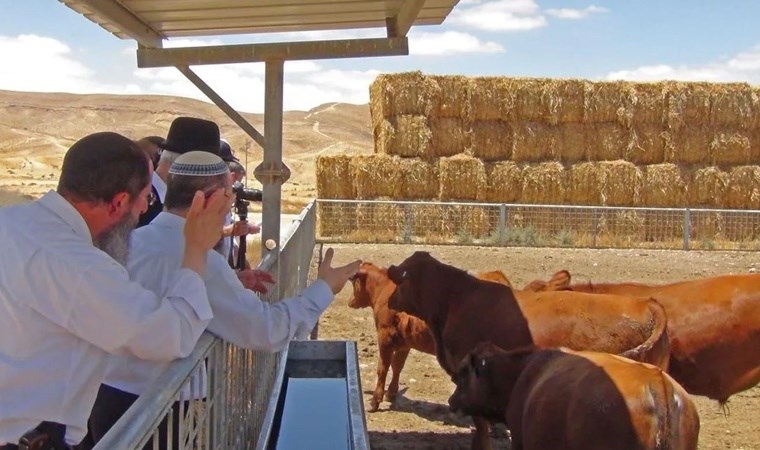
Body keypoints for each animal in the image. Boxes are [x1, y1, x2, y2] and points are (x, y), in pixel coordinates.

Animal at [348, 260, 512, 412]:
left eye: (354, 282)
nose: (350, 301)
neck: (384, 290)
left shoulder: (385, 338)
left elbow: (383, 368)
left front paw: (375, 402)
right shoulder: (404, 343)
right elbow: (397, 366)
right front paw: (391, 394)